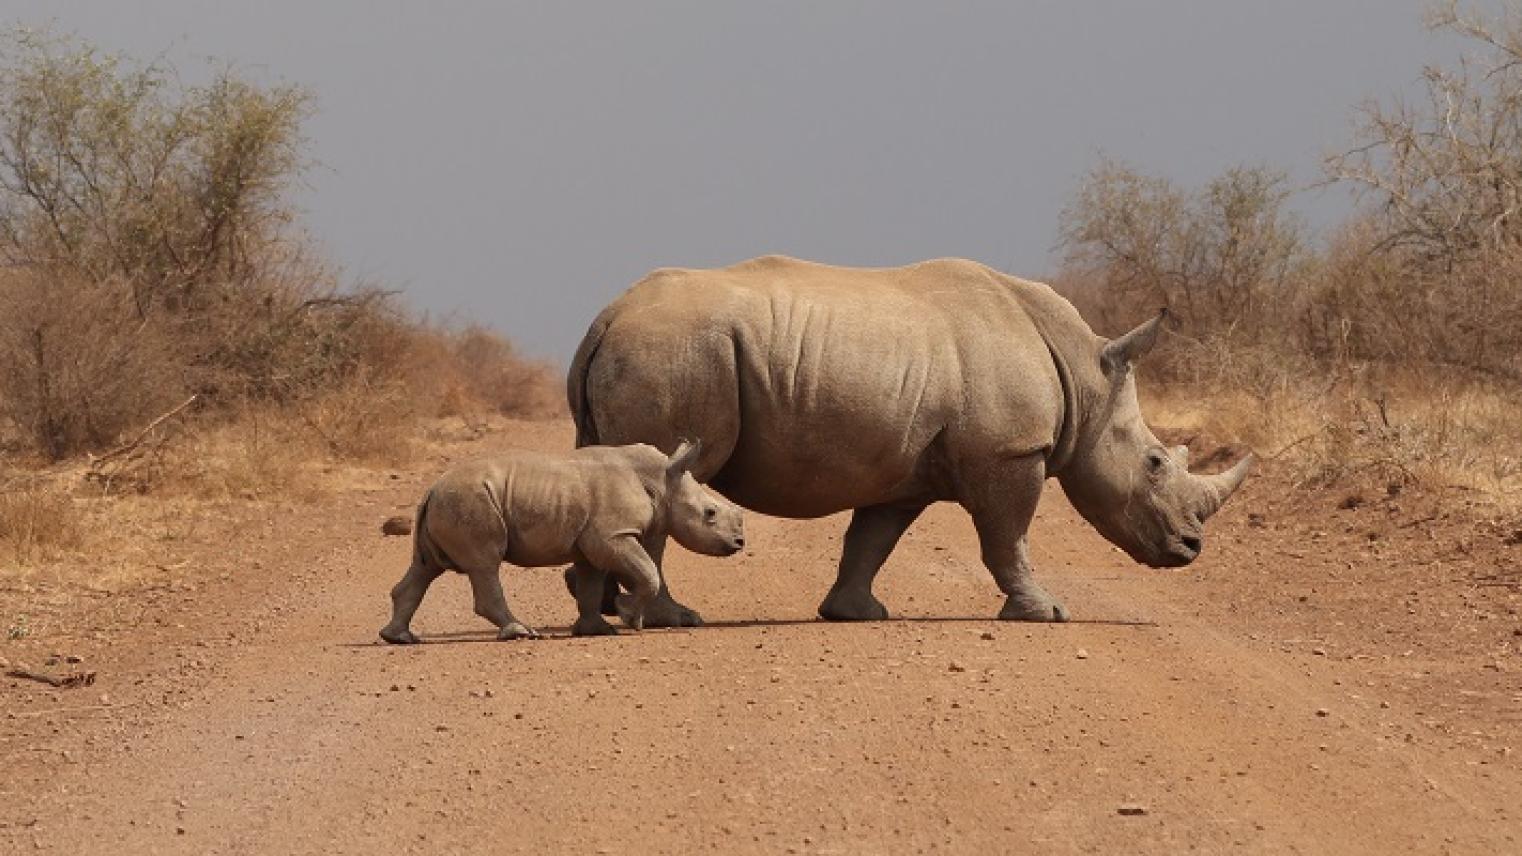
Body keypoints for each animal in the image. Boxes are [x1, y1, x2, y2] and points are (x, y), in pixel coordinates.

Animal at [377, 438, 739, 639]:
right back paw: (520, 633)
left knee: (425, 567)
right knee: (484, 565)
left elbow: (591, 585)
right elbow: (647, 571)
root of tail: (431, 489)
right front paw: (628, 617)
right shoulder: (613, 534)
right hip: (470, 501)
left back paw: (399, 638)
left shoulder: (594, 540)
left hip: (448, 503)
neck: (662, 480)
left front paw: (597, 630)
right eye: (710, 513)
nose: (739, 543)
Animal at [566, 252, 1254, 627]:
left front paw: (854, 613)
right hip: (675, 351)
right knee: (667, 479)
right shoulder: (1010, 451)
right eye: (1155, 462)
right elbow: (1008, 538)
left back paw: (609, 611)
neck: (1086, 376)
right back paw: (674, 619)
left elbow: (872, 539)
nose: (1191, 548)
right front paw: (1046, 613)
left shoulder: (901, 464)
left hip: (654, 351)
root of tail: (607, 317)